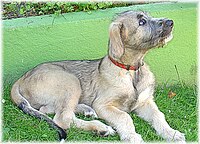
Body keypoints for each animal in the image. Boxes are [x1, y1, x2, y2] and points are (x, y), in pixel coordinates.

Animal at [11, 10, 186, 143]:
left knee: (49, 109)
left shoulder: (145, 102)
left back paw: (86, 110)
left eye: (149, 16)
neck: (131, 72)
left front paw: (172, 133)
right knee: (62, 119)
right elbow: (124, 117)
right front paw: (131, 136)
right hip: (70, 80)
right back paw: (101, 128)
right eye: (142, 22)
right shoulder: (103, 105)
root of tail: (21, 78)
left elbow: (159, 116)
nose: (171, 22)